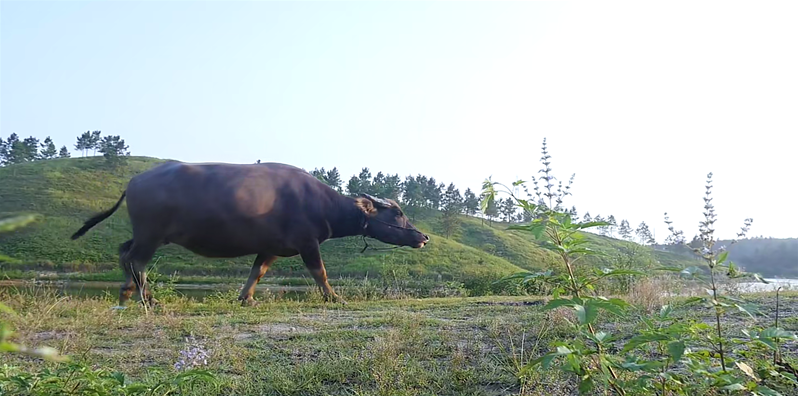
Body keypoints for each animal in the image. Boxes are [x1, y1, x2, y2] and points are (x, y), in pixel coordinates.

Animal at [70, 160, 432, 306]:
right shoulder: (307, 243)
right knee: (136, 260)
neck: (321, 203)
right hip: (151, 234)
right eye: (397, 213)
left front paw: (246, 298)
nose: (422, 237)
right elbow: (320, 273)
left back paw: (130, 294)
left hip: (147, 234)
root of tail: (134, 181)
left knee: (124, 252)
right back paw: (144, 298)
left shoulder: (270, 247)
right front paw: (334, 297)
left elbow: (256, 272)